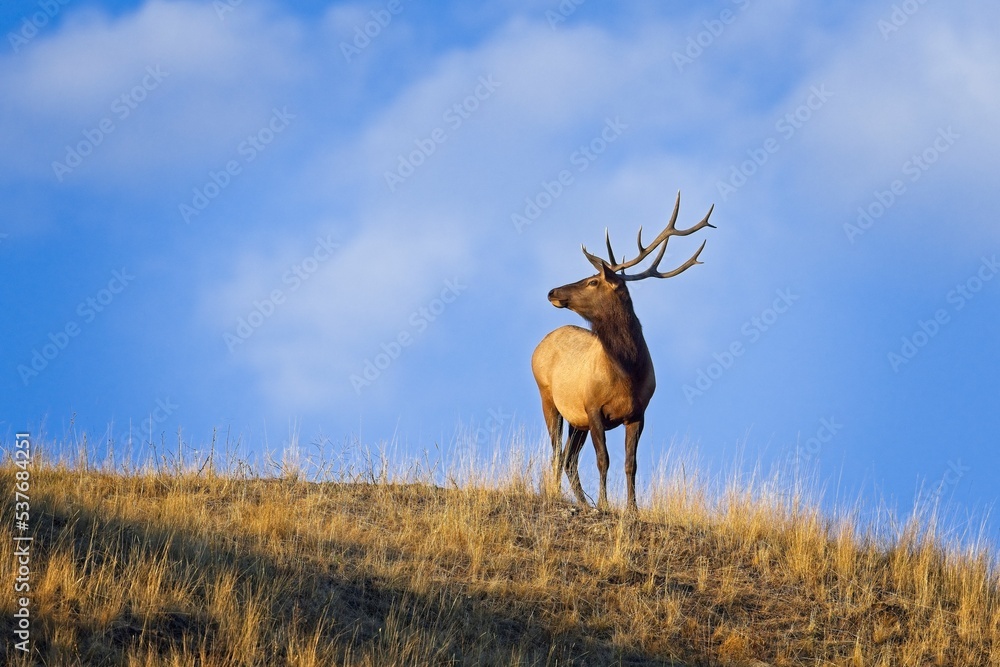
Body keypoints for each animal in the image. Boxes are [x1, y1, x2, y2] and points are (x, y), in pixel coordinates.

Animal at [531, 192, 714, 511]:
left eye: (593, 280)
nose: (552, 291)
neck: (627, 373)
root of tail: (538, 347)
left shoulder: (638, 413)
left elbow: (631, 463)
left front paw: (632, 508)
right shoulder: (592, 407)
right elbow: (603, 460)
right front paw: (605, 503)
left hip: (575, 419)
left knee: (568, 458)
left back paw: (583, 501)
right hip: (547, 397)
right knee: (557, 453)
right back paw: (560, 494)